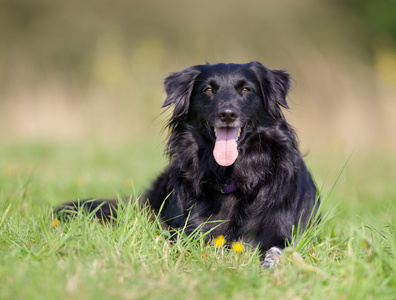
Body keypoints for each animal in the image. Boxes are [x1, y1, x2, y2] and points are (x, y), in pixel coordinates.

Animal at [58, 61, 318, 268]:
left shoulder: (280, 231)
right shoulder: (189, 229)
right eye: (208, 90)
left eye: (246, 89)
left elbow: (276, 251)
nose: (227, 114)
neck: (231, 177)